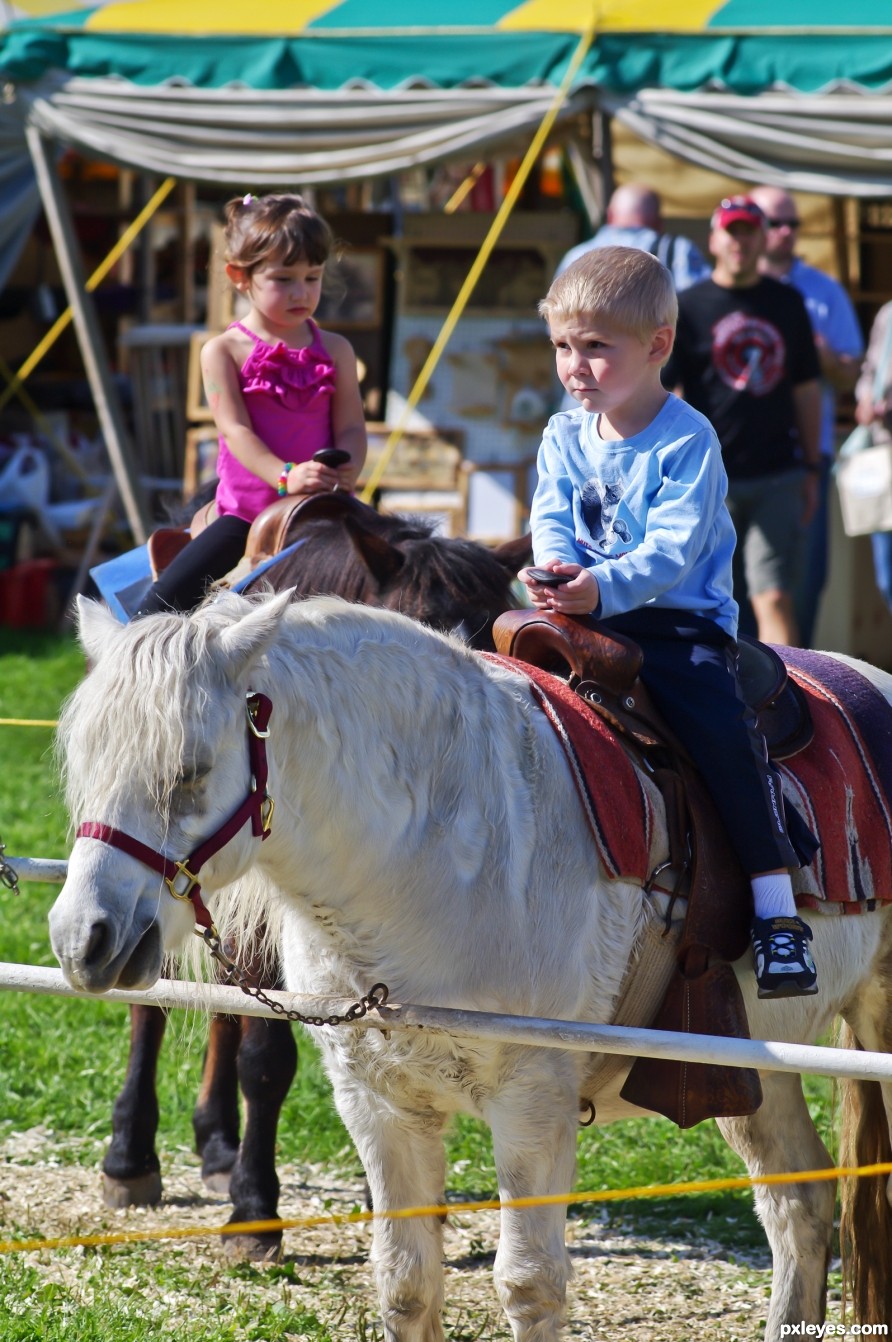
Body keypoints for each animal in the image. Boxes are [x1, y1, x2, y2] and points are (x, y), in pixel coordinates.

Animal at [50, 595, 892, 1342]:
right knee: (800, 1207)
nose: (82, 937)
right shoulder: (379, 1107)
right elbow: (406, 1284)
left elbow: (528, 1287)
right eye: (86, 765)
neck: (442, 849)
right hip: (747, 1072)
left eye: (191, 769)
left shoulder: (533, 1105)